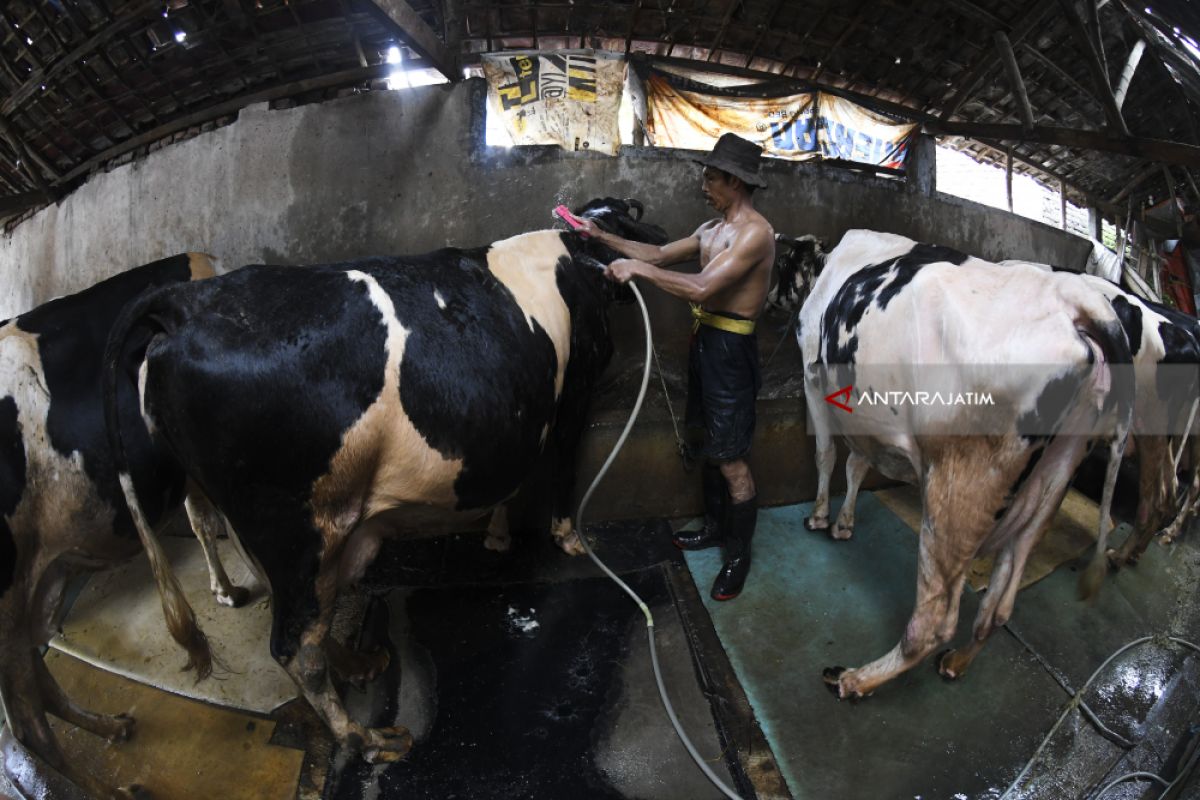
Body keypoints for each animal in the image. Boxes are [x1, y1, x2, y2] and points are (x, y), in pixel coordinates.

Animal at [0, 255, 247, 800]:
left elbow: (202, 522)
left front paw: (223, 588)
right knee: (27, 722)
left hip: (33, 587)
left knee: (38, 683)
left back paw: (110, 727)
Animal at [106, 196, 672, 762]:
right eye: (633, 222)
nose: (665, 239)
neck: (572, 253)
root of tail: (184, 302)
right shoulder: (576, 390)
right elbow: (562, 469)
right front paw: (569, 538)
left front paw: (497, 534)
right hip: (298, 525)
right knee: (294, 643)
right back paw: (365, 737)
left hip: (253, 518)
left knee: (294, 605)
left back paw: (359, 665)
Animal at [782, 230, 1128, 700]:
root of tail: (1076, 301)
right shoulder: (864, 414)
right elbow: (857, 464)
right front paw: (844, 523)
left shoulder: (813, 376)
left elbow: (827, 453)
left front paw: (819, 517)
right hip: (1052, 482)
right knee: (997, 608)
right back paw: (956, 663)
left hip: (957, 488)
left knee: (933, 621)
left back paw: (855, 679)